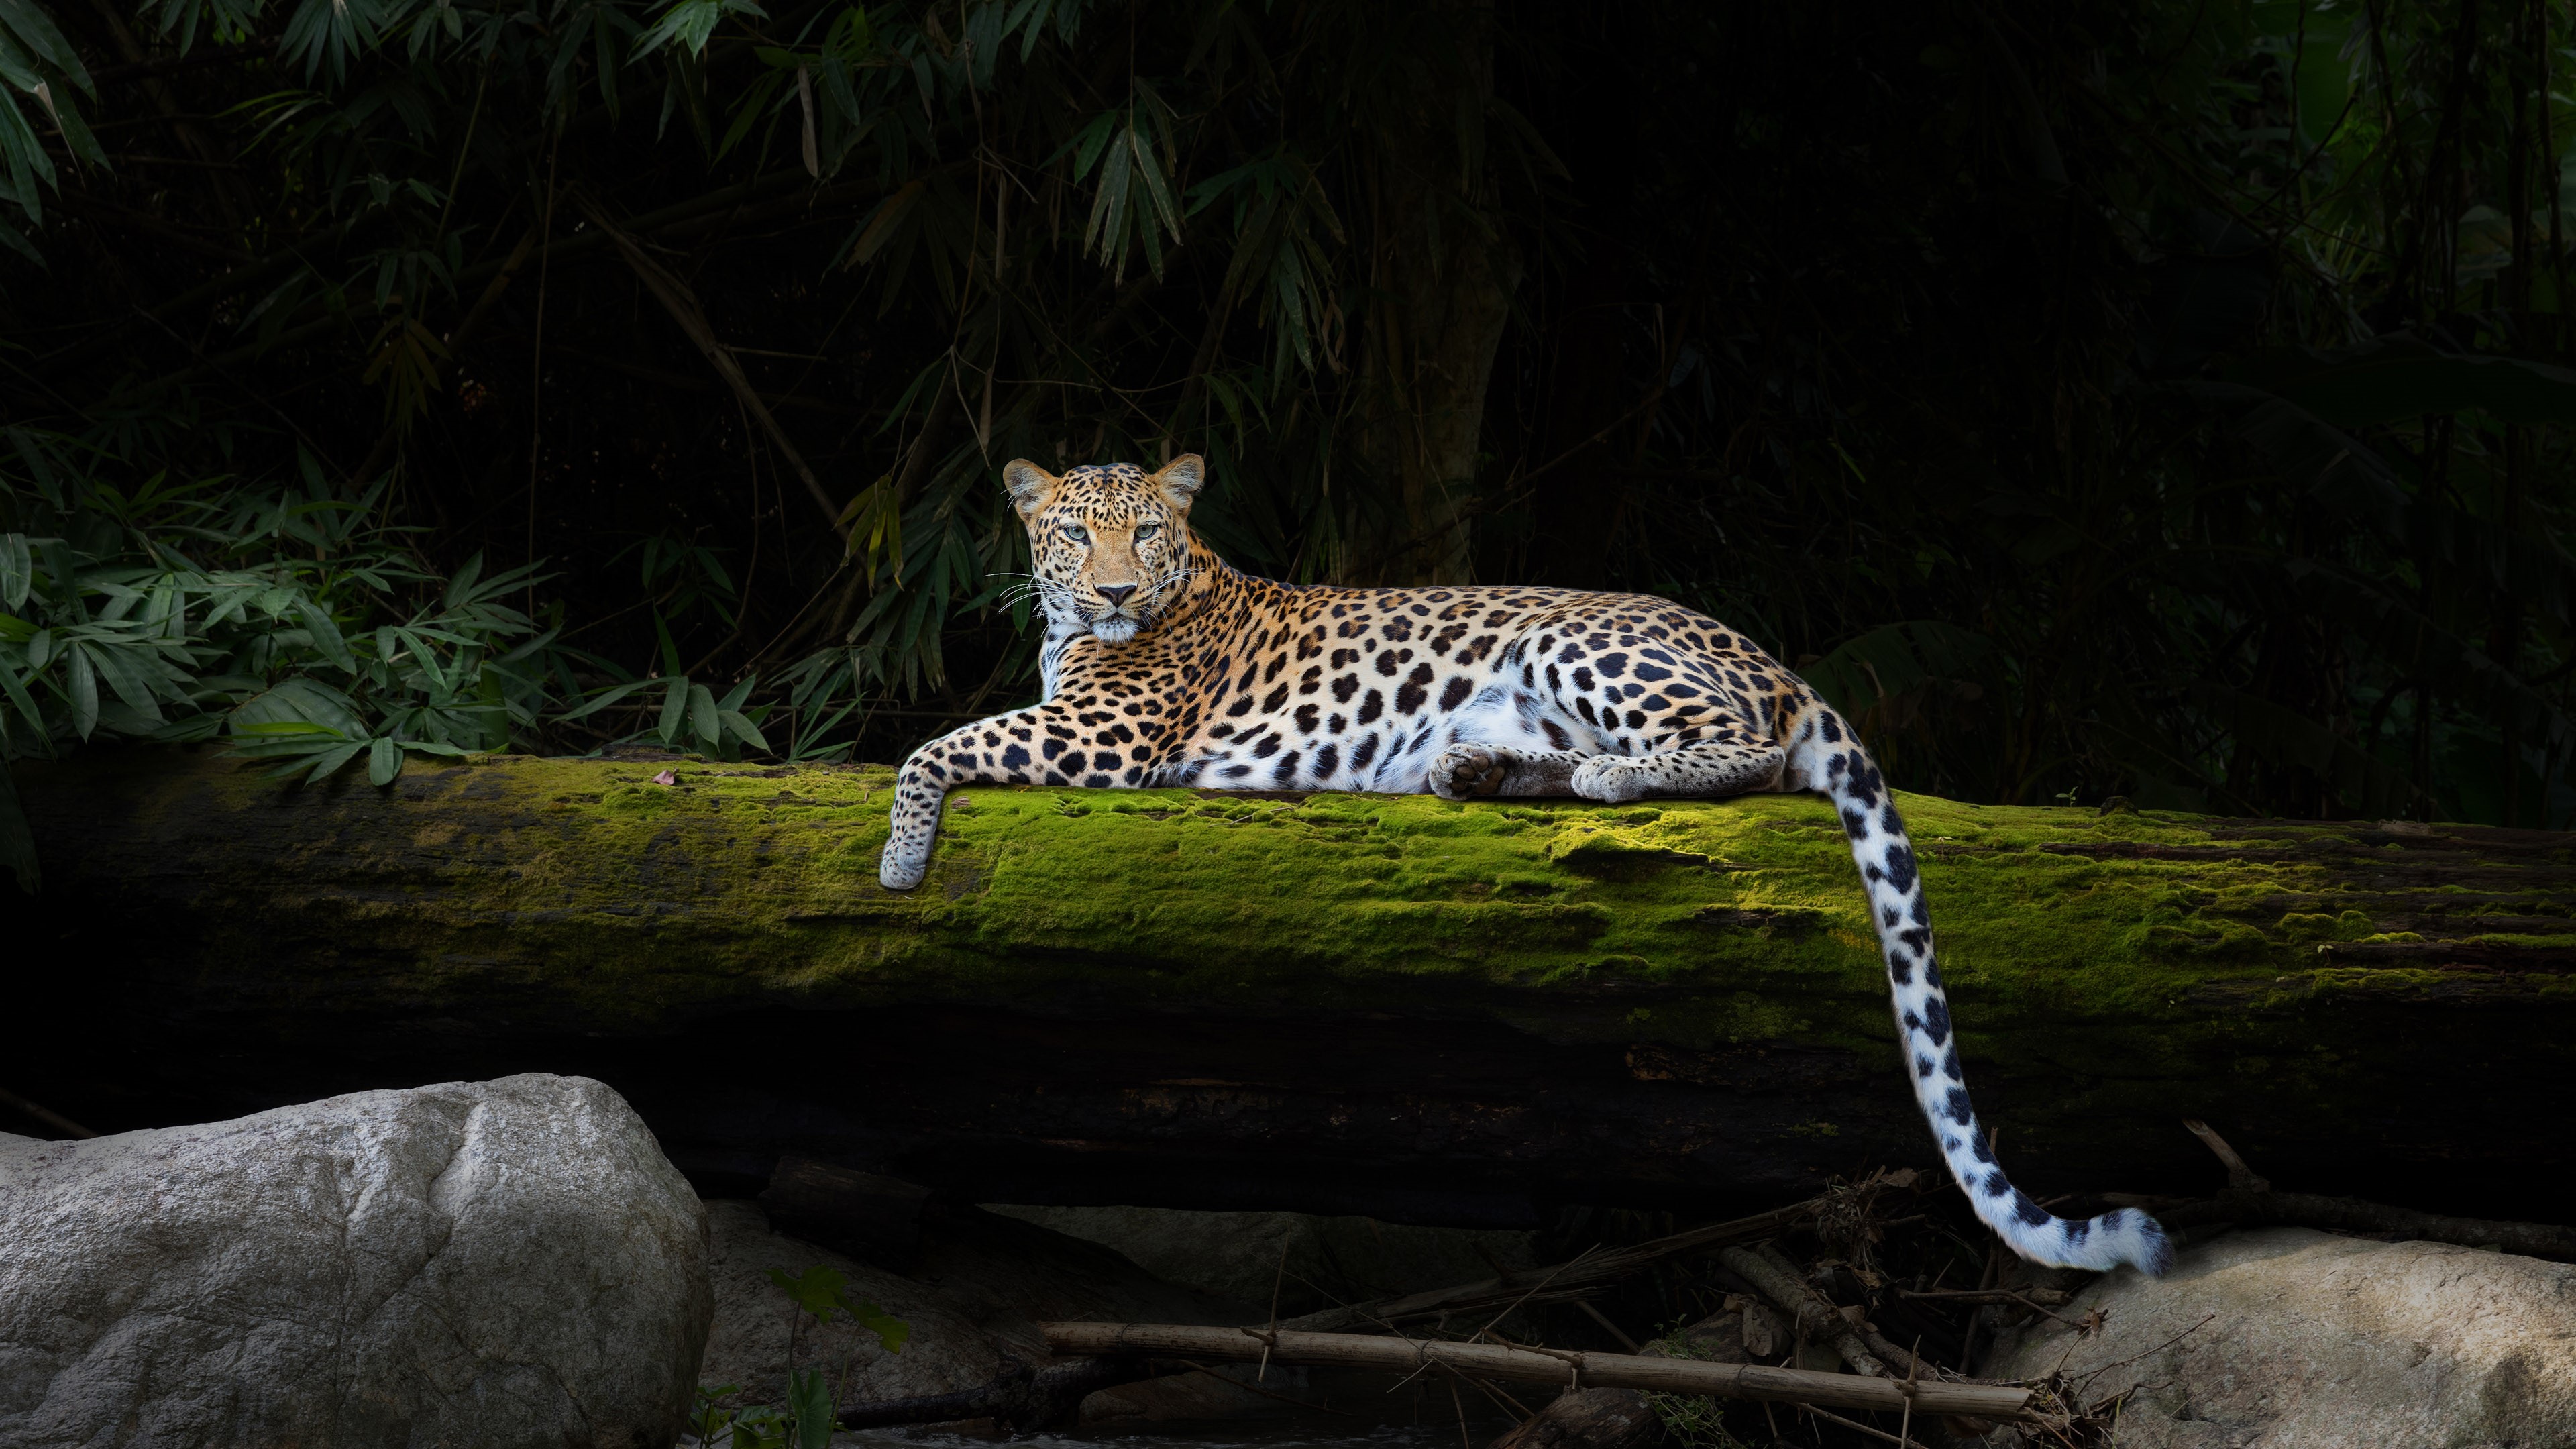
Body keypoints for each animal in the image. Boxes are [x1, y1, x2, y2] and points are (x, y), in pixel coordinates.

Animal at [881, 453, 2174, 1273]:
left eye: (1142, 532)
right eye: (1073, 532)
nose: (1110, 588)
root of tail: (1776, 659)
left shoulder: (1100, 735)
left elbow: (931, 742)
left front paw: (898, 855)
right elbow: (946, 732)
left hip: (1576, 639)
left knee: (1744, 753)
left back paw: (1598, 780)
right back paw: (1480, 771)